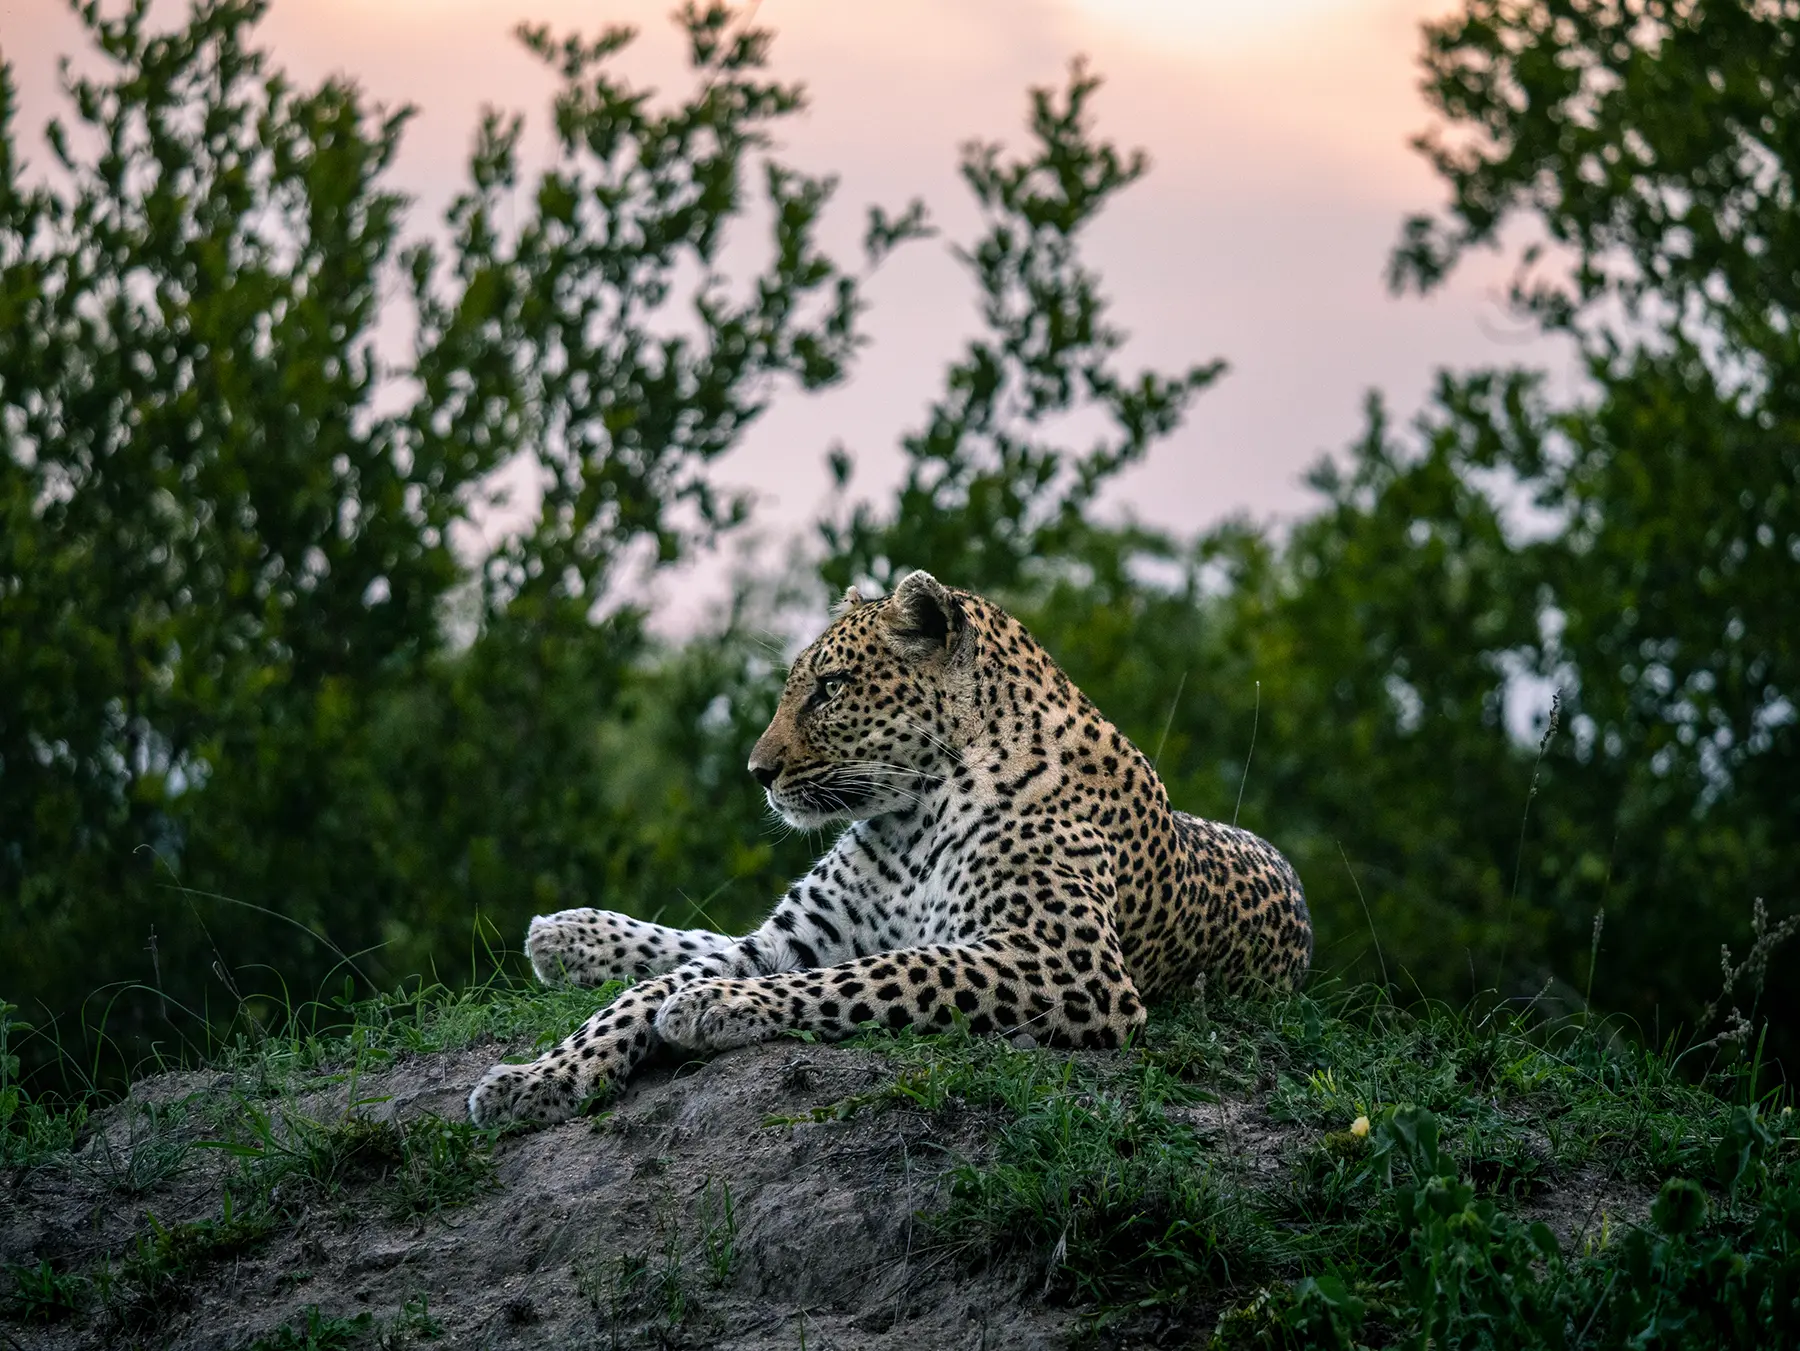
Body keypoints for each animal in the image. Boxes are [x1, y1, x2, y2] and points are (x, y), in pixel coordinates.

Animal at [468, 570, 1311, 1126]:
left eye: (831, 686)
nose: (757, 771)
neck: (913, 818)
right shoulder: (797, 938)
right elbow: (641, 995)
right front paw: (537, 1078)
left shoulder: (1066, 962)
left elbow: (886, 972)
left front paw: (715, 1005)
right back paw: (568, 934)